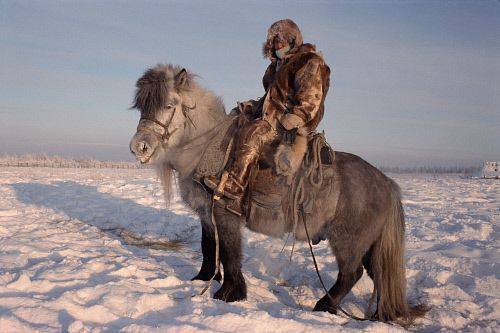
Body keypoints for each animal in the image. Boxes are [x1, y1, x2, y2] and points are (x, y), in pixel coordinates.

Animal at [129, 63, 426, 322]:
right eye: (141, 106)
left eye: (169, 105)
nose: (138, 147)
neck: (207, 148)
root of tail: (388, 183)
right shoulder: (206, 213)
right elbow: (209, 247)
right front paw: (202, 279)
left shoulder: (225, 213)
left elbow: (230, 253)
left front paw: (229, 293)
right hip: (368, 245)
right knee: (379, 274)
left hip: (348, 241)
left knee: (351, 274)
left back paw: (323, 306)